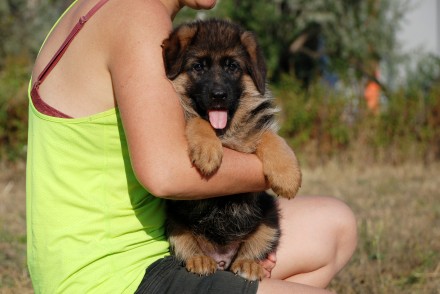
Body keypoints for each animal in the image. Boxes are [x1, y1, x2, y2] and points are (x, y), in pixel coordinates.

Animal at [162, 19, 302, 282]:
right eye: (198, 66)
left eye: (232, 67)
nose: (219, 96)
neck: (224, 132)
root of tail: (221, 259)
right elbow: (198, 121)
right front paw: (207, 150)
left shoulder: (257, 130)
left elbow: (272, 138)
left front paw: (288, 176)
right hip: (174, 221)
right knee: (186, 245)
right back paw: (199, 260)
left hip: (269, 216)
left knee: (252, 248)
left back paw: (248, 264)